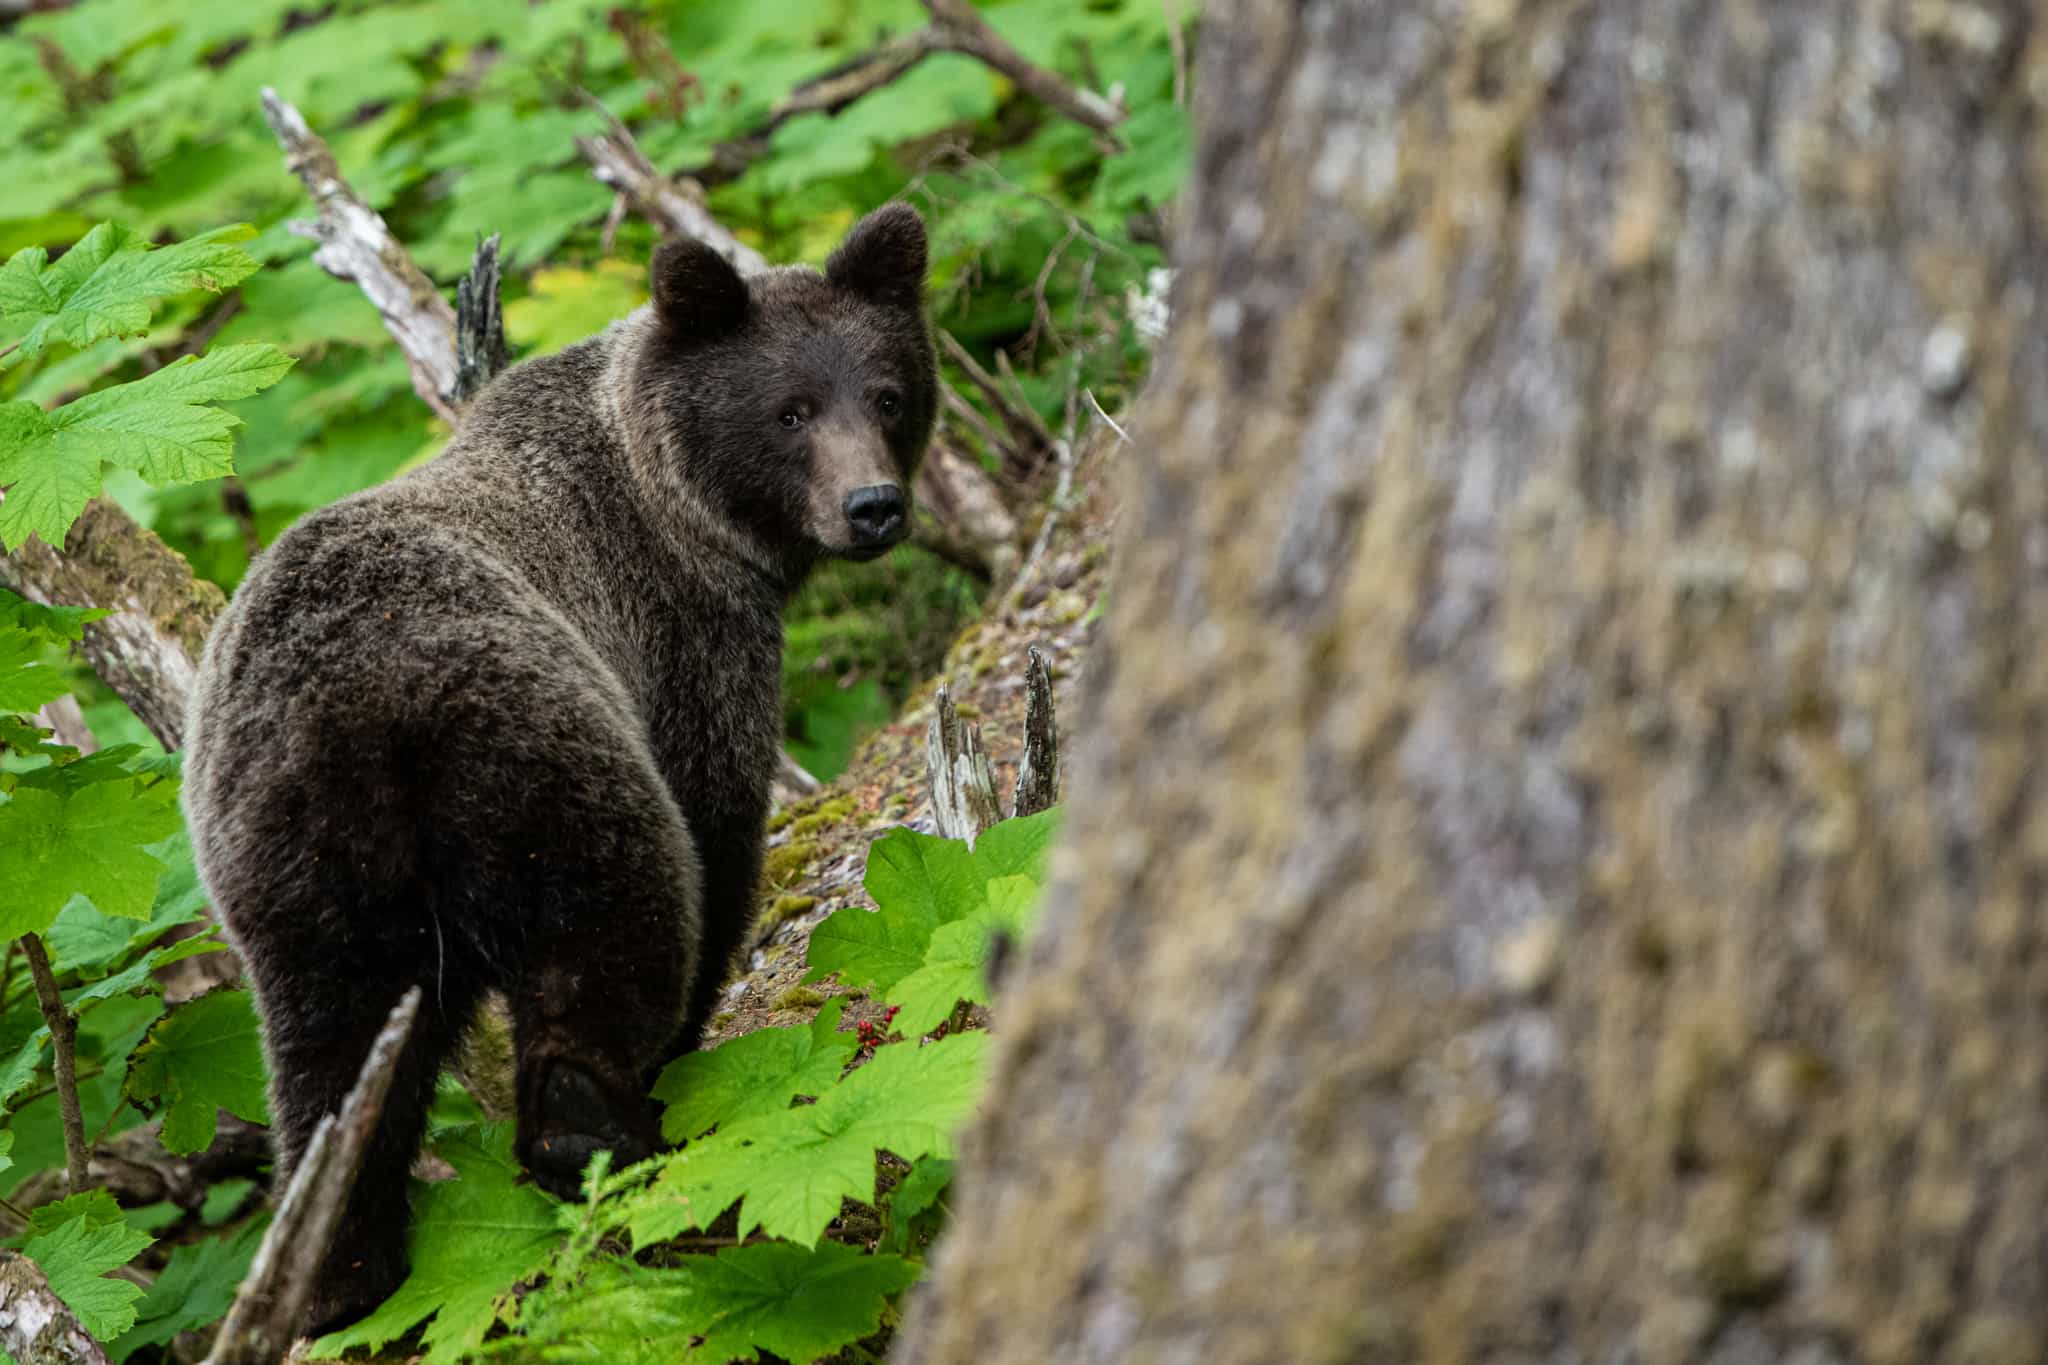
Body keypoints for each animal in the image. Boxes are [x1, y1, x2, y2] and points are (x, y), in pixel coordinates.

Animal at [179, 204, 936, 1334]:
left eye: (887, 392)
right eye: (791, 410)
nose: (873, 504)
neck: (678, 501)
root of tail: (359, 715)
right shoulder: (686, 641)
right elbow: (719, 837)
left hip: (290, 862)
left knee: (328, 1063)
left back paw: (336, 1271)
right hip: (540, 755)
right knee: (616, 932)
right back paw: (595, 1136)